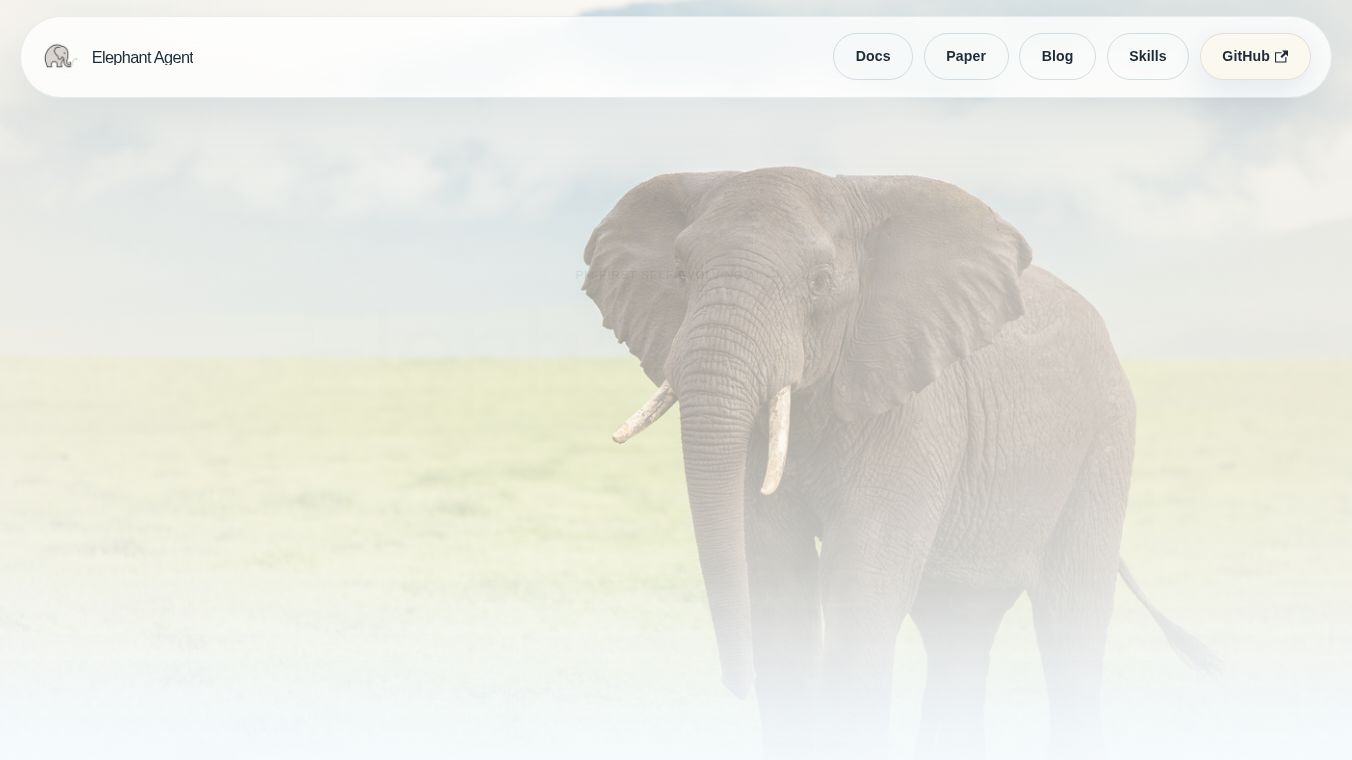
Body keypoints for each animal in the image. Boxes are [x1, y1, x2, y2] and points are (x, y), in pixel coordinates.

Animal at [582, 168, 1217, 758]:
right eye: (680, 275)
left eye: (821, 283)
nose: (734, 684)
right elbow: (778, 579)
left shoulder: (917, 409)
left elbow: (859, 588)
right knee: (959, 626)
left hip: (1105, 439)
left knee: (1070, 620)